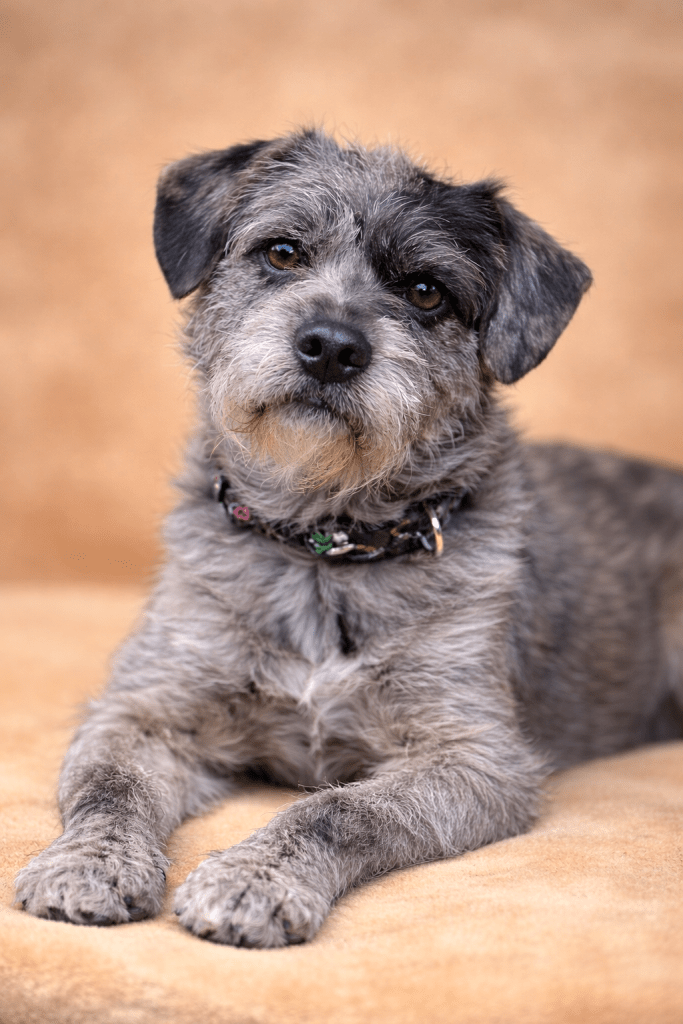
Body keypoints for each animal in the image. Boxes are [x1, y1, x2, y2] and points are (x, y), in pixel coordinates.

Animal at [15, 129, 683, 948]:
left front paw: (254, 882)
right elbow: (110, 787)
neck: (323, 547)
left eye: (426, 292)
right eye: (281, 251)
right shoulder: (145, 711)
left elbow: (339, 808)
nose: (331, 346)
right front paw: (87, 865)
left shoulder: (471, 757)